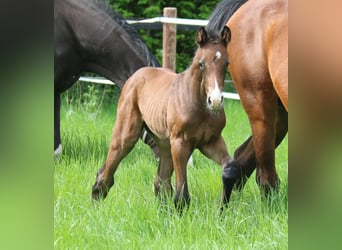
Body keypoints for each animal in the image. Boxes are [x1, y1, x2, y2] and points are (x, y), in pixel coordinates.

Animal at [91, 26, 232, 210]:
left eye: (226, 63)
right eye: (201, 64)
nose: (215, 101)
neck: (199, 105)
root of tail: (136, 75)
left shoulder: (211, 141)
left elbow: (229, 168)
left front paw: (222, 209)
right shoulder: (180, 142)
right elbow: (181, 193)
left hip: (164, 144)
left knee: (161, 181)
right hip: (127, 135)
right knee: (106, 172)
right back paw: (96, 204)